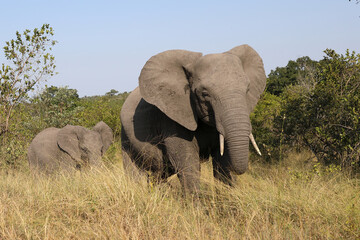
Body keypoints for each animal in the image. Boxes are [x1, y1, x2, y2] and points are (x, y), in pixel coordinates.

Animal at [122, 43, 266, 193]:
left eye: (248, 89)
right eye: (204, 94)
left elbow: (222, 161)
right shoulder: (172, 116)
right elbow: (187, 160)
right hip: (125, 137)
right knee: (134, 173)